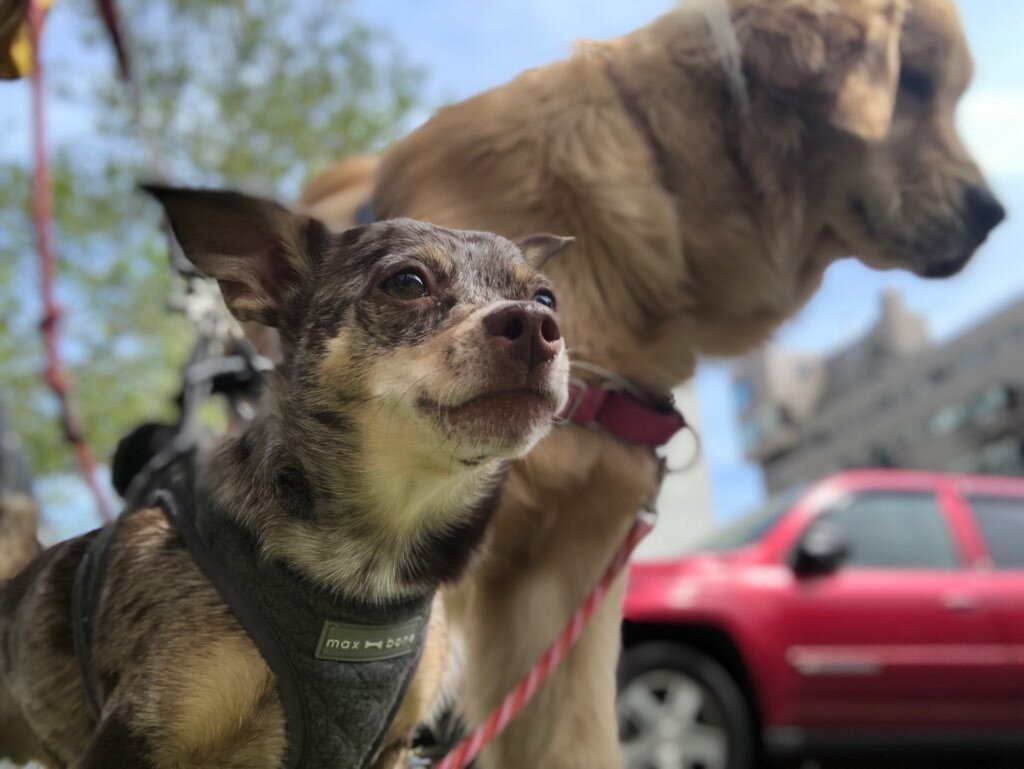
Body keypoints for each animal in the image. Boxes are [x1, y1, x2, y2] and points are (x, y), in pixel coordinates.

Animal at [0, 188, 569, 769]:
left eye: (547, 299)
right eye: (407, 283)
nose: (533, 325)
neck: (370, 567)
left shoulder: (390, 747)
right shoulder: (131, 737)